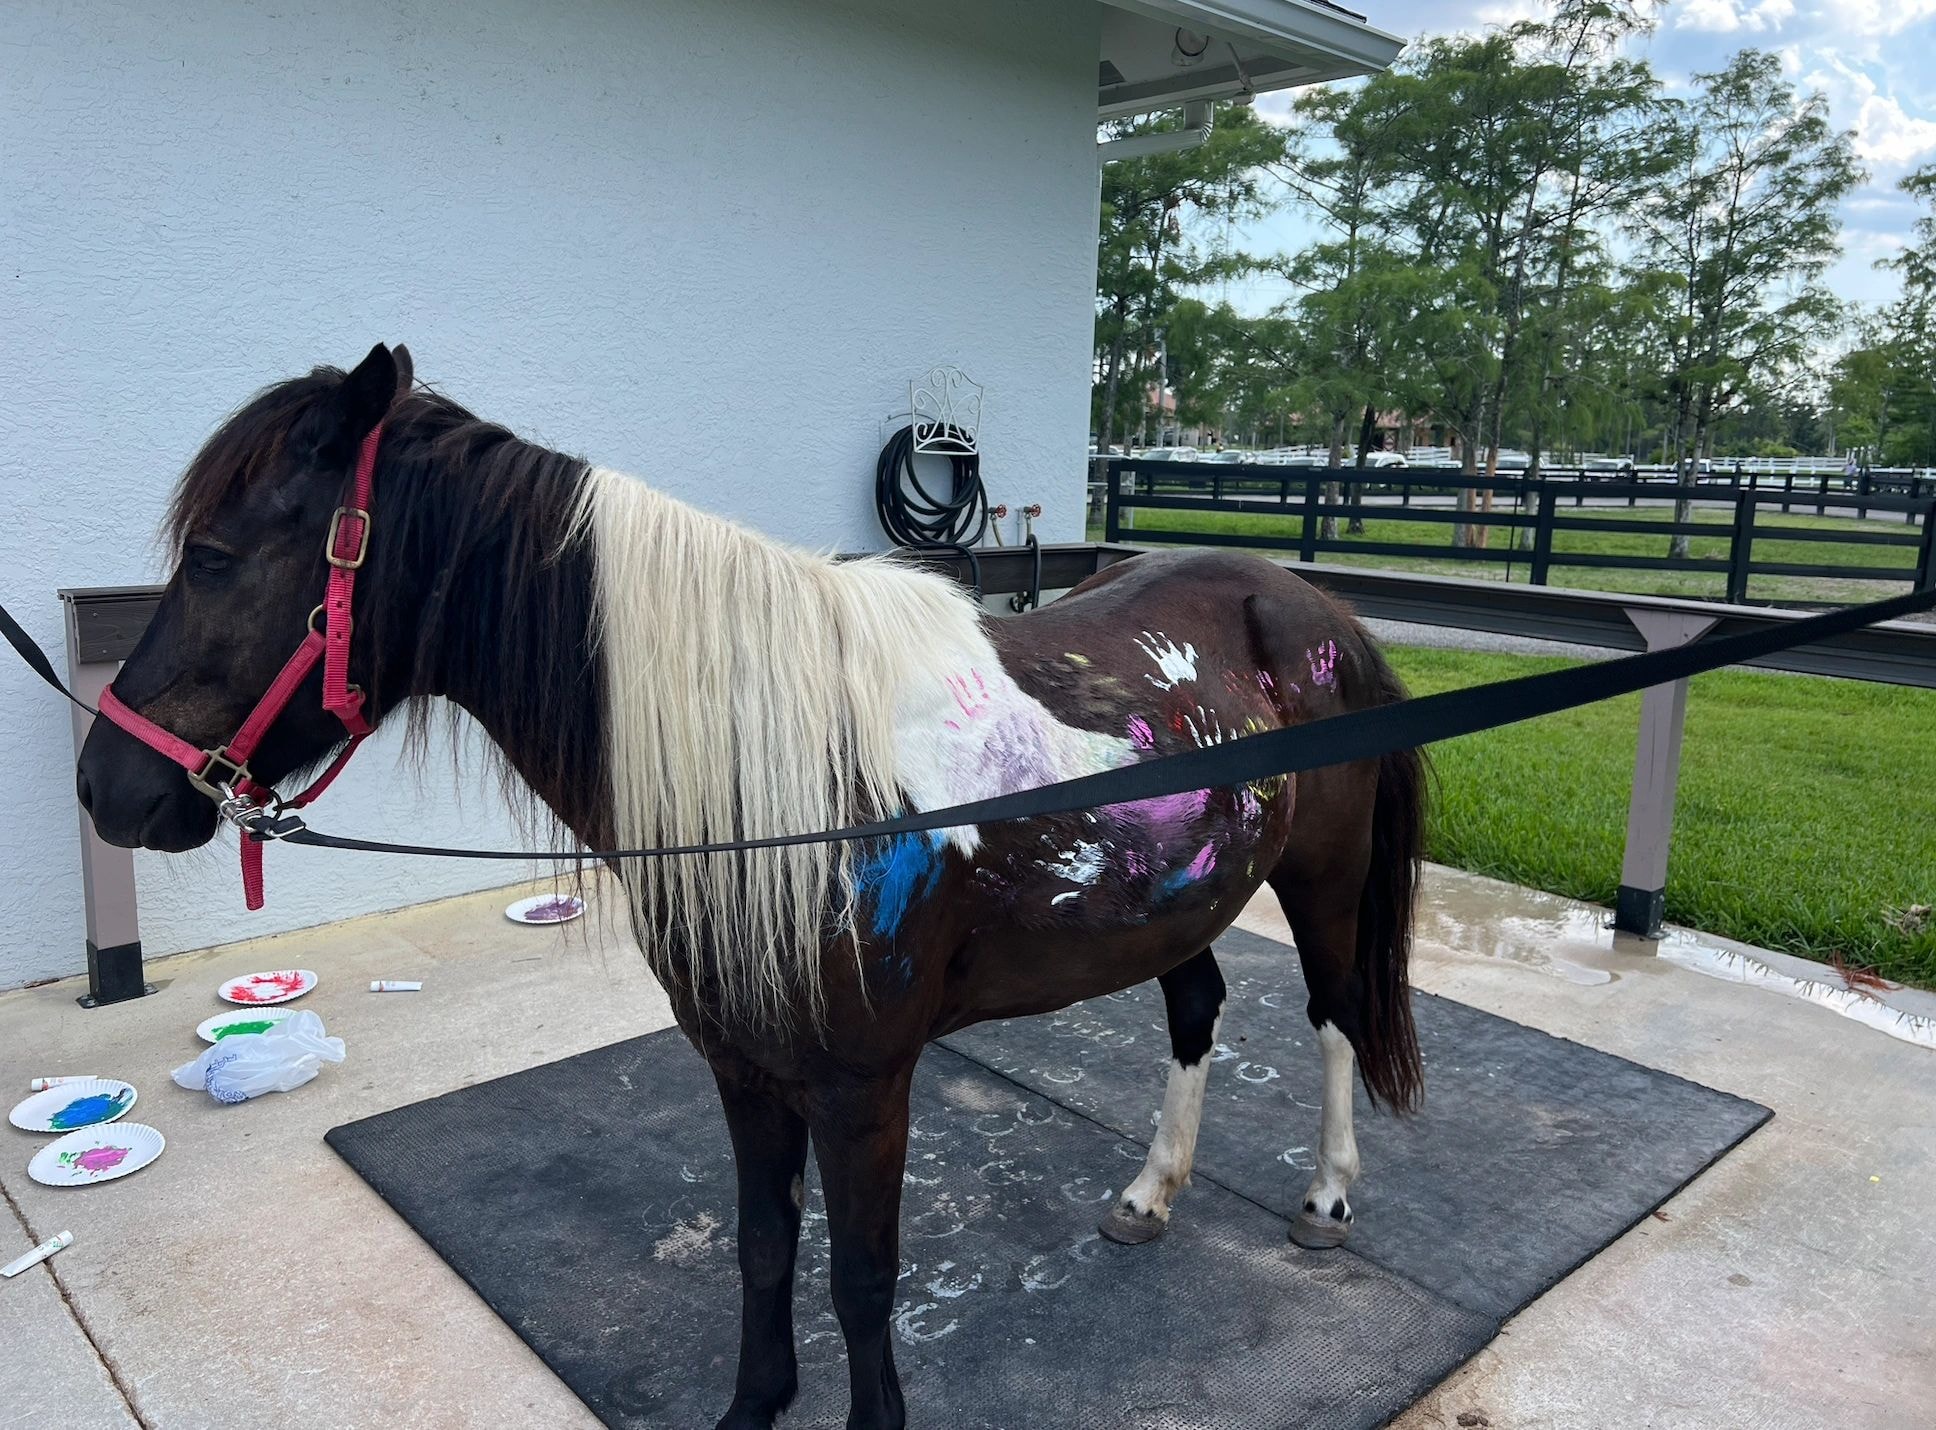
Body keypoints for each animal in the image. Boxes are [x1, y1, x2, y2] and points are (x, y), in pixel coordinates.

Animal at [76, 344, 1426, 1430]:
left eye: (213, 557)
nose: (107, 787)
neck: (787, 777)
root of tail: (1306, 602)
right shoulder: (741, 1062)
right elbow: (766, 1248)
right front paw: (752, 1402)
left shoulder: (862, 1081)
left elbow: (861, 1277)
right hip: (1178, 900)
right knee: (1195, 1010)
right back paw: (1150, 1193)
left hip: (1323, 881)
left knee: (1334, 1014)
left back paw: (1326, 1195)